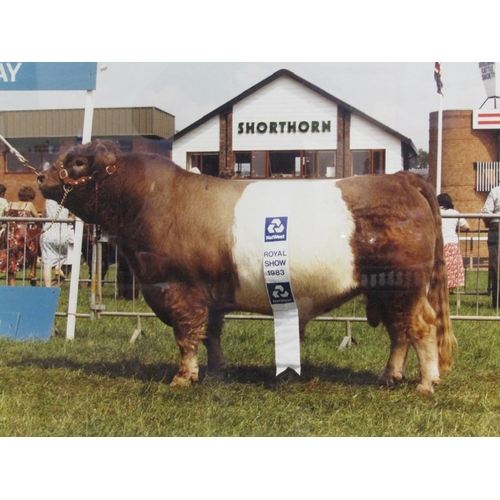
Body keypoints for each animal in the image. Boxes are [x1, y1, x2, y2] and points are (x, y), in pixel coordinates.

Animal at [37, 140, 456, 394]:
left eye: (77, 162)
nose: (41, 177)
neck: (147, 202)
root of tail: (402, 179)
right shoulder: (208, 297)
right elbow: (211, 335)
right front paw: (217, 371)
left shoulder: (180, 291)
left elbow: (187, 337)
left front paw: (183, 377)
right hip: (386, 291)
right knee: (400, 333)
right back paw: (390, 375)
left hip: (402, 287)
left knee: (420, 329)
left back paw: (426, 383)